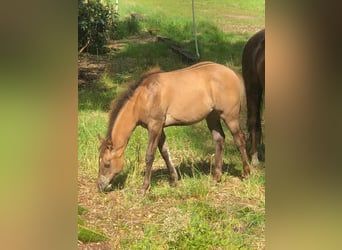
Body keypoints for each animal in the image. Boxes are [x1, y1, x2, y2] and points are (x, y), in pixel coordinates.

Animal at [97, 61, 250, 193]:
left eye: (106, 163)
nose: (100, 186)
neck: (143, 98)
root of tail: (233, 73)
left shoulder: (155, 126)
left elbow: (149, 155)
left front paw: (144, 187)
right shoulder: (159, 128)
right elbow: (165, 152)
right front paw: (174, 180)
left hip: (230, 117)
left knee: (240, 140)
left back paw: (247, 173)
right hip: (212, 117)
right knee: (219, 139)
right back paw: (216, 177)